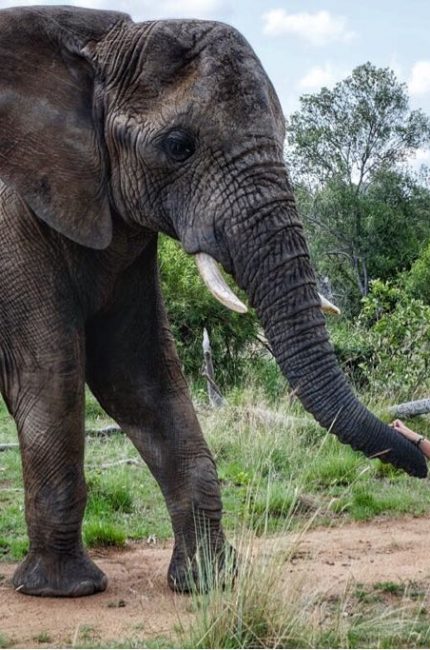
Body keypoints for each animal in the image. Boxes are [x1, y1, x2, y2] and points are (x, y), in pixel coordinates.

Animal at [0, 5, 426, 598]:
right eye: (178, 146)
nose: (420, 443)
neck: (94, 43)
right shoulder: (11, 221)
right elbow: (50, 371)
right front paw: (64, 590)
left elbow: (138, 373)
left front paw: (207, 581)